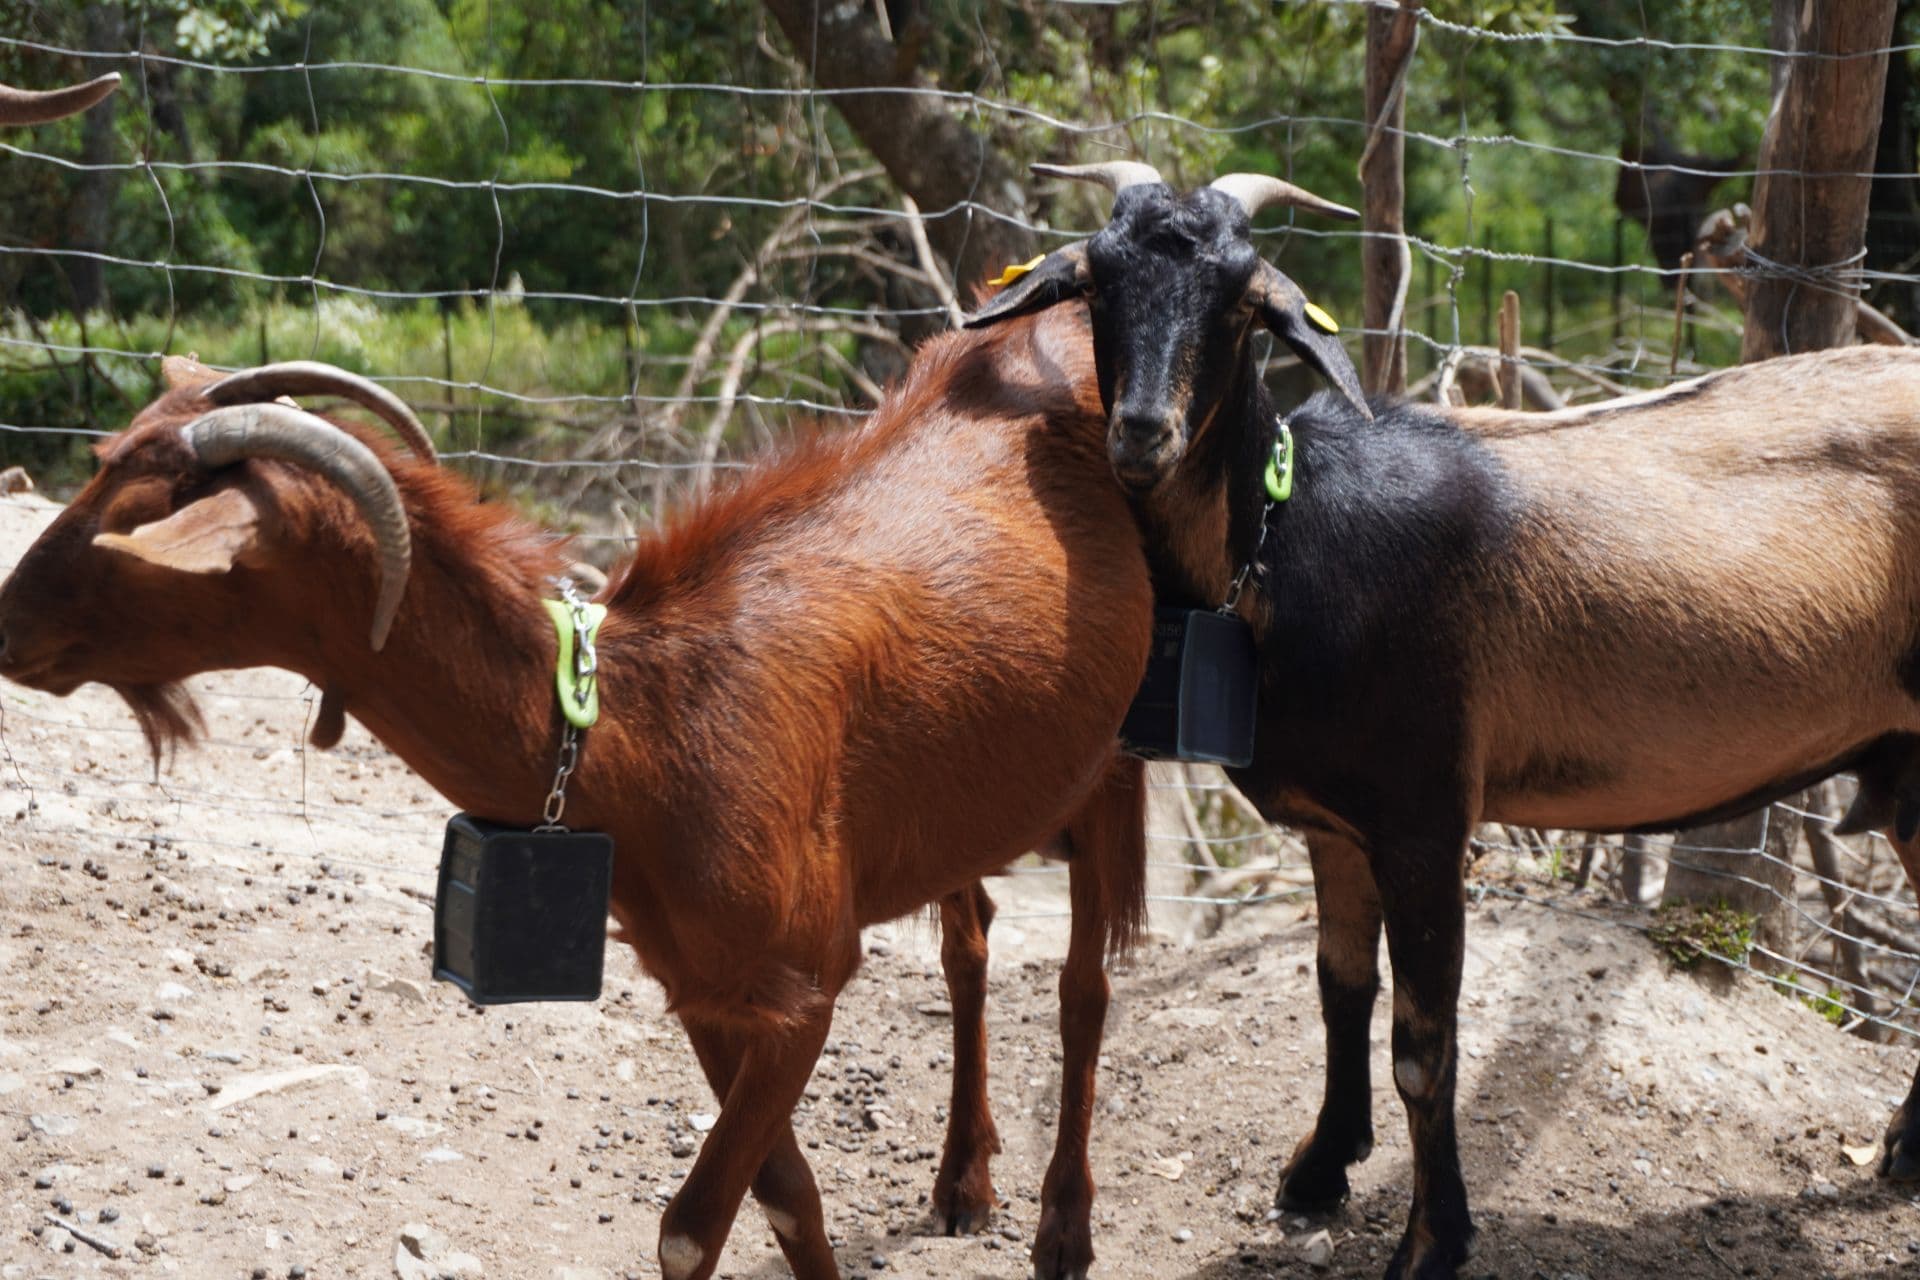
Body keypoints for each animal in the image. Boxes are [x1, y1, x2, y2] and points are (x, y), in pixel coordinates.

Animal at [0, 323, 1153, 1280]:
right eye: (100, 464)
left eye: (134, 522)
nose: (7, 625)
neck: (640, 729)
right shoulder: (705, 987)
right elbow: (788, 1198)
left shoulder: (803, 983)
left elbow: (695, 1225)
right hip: (967, 802)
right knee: (972, 939)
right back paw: (965, 1178)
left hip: (1113, 758)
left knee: (1084, 986)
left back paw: (1065, 1226)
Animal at [969, 161, 1920, 1280]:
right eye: (1095, 283)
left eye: (1244, 297)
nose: (1142, 432)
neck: (1285, 540)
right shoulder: (1337, 822)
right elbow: (1340, 988)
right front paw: (1319, 1168)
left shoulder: (1423, 814)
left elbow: (1423, 1047)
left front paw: (1430, 1240)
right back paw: (1904, 1150)